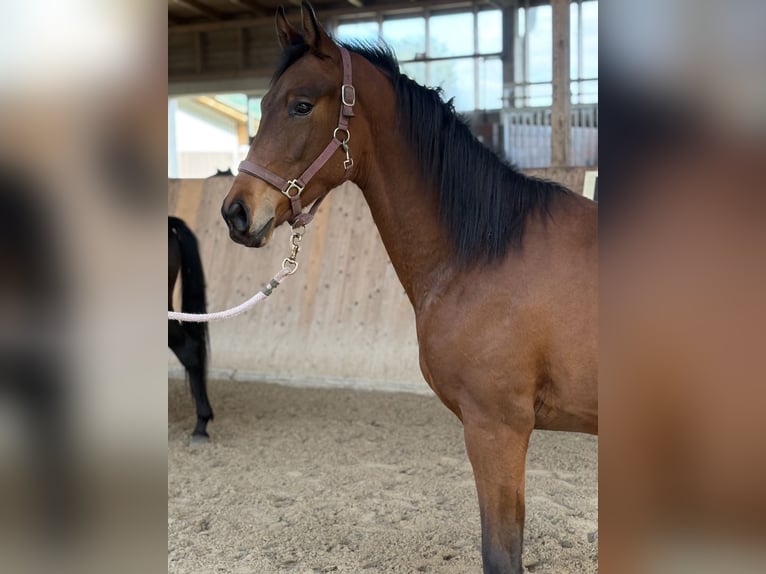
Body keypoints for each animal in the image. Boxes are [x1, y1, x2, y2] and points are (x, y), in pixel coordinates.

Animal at [222, 2, 600, 572]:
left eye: (301, 105)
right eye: (261, 104)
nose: (236, 212)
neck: (485, 250)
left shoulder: (497, 430)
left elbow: (500, 552)